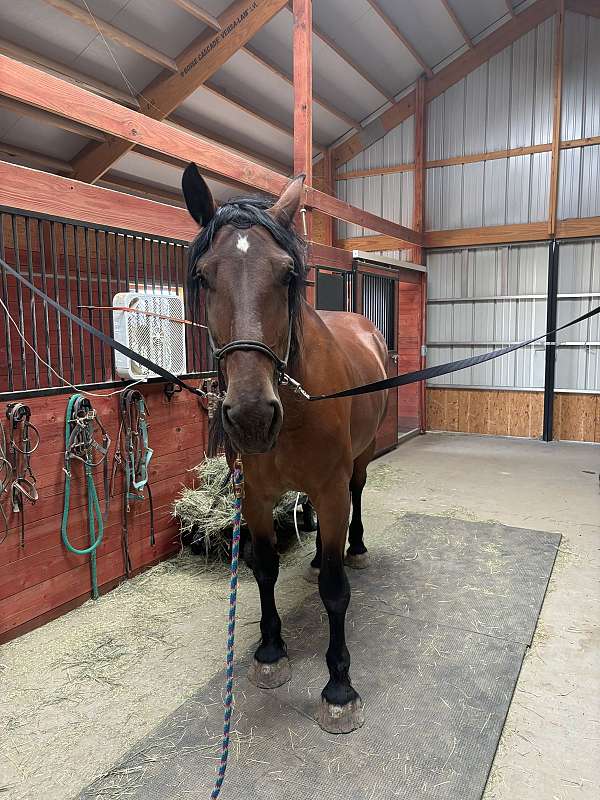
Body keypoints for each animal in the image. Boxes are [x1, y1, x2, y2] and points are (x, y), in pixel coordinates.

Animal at [182, 163, 389, 734]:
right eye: (204, 276)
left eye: (287, 275)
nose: (252, 416)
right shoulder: (253, 496)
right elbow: (265, 568)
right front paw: (271, 650)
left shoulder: (331, 490)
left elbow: (336, 592)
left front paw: (339, 687)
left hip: (358, 463)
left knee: (357, 499)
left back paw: (354, 547)